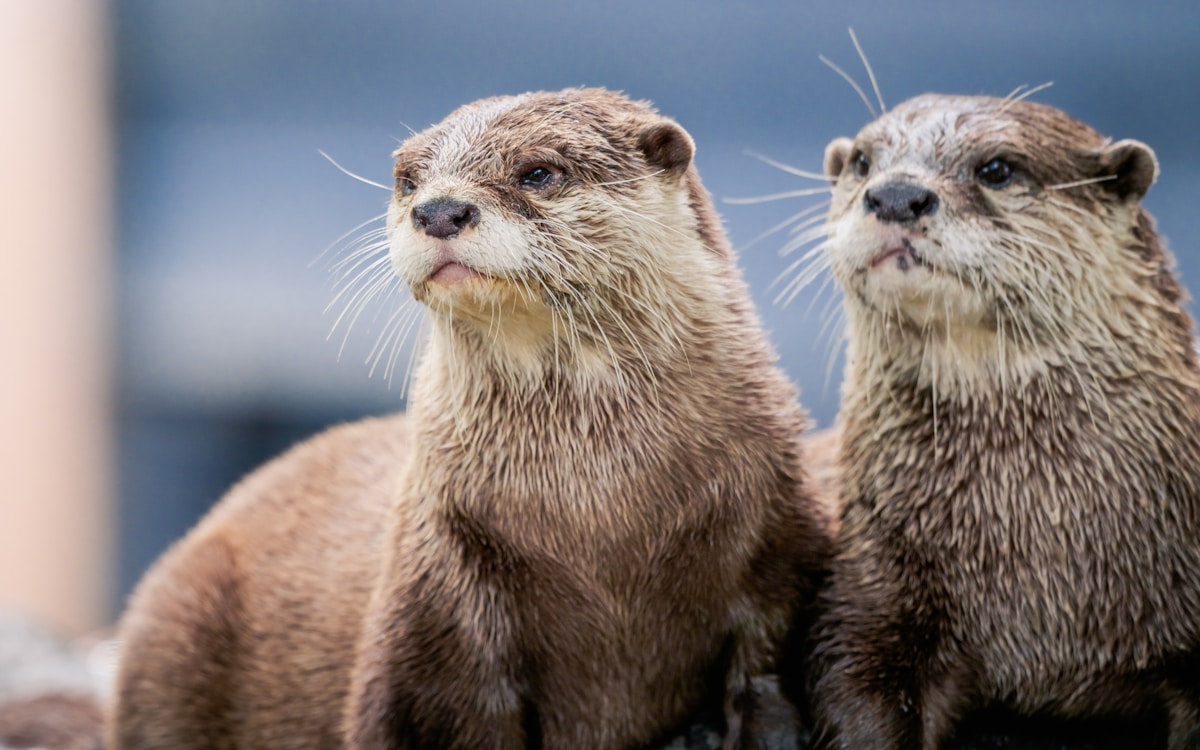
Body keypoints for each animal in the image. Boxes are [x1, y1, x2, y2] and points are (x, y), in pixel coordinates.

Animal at [107, 88, 831, 749]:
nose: (438, 210)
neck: (597, 511)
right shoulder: (437, 595)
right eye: (408, 180)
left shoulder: (775, 540)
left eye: (538, 172)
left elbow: (763, 668)